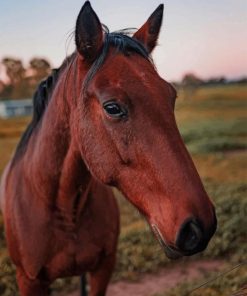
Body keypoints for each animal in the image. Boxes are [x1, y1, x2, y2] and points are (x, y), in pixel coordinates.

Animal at [0, 2, 216, 296]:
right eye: (112, 107)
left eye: (171, 97)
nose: (199, 226)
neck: (63, 210)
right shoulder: (29, 281)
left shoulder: (104, 268)